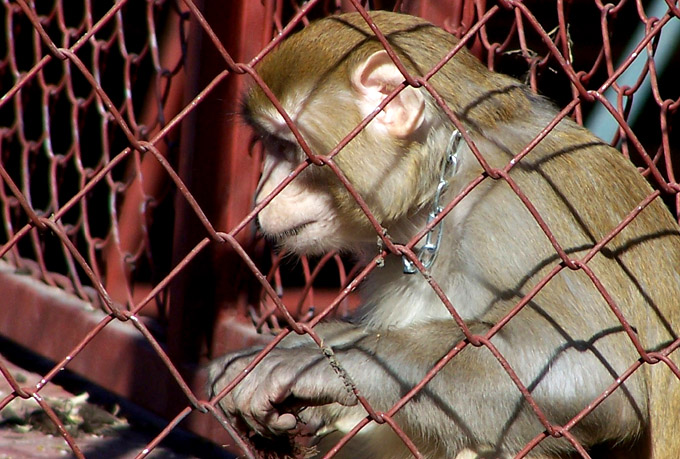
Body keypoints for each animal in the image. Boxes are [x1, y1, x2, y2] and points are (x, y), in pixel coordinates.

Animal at [207, 10, 680, 459]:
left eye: (287, 148)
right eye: (268, 144)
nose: (261, 197)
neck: (446, 180)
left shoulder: (516, 213)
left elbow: (594, 376)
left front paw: (319, 364)